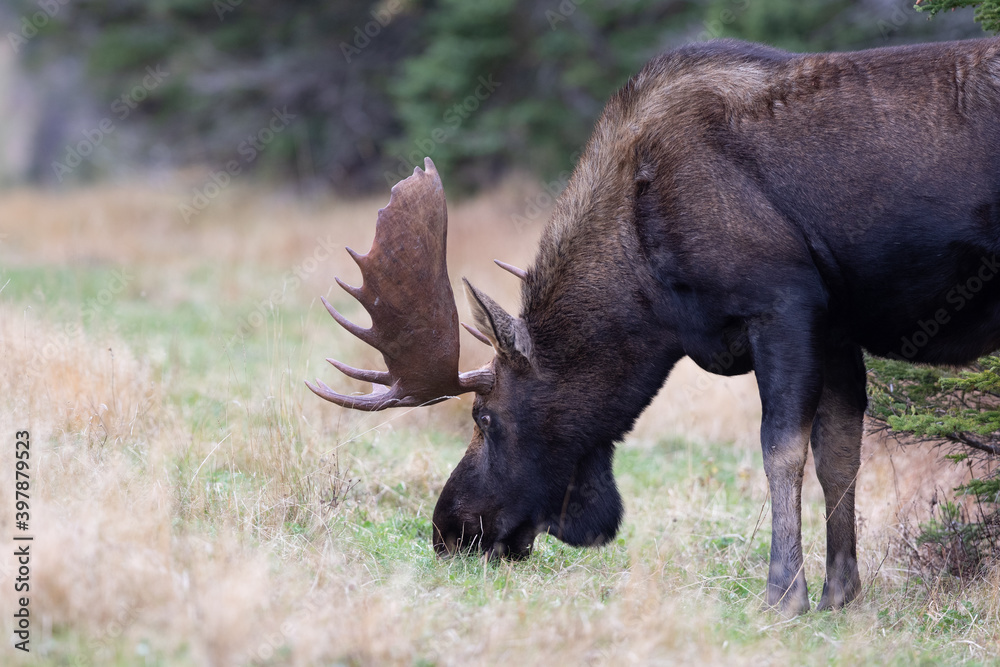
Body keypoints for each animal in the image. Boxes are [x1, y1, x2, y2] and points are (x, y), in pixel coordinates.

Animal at [310, 37, 1000, 616]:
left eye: (484, 417)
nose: (449, 529)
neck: (653, 292)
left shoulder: (784, 303)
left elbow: (781, 448)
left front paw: (784, 593)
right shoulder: (836, 326)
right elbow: (840, 454)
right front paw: (841, 593)